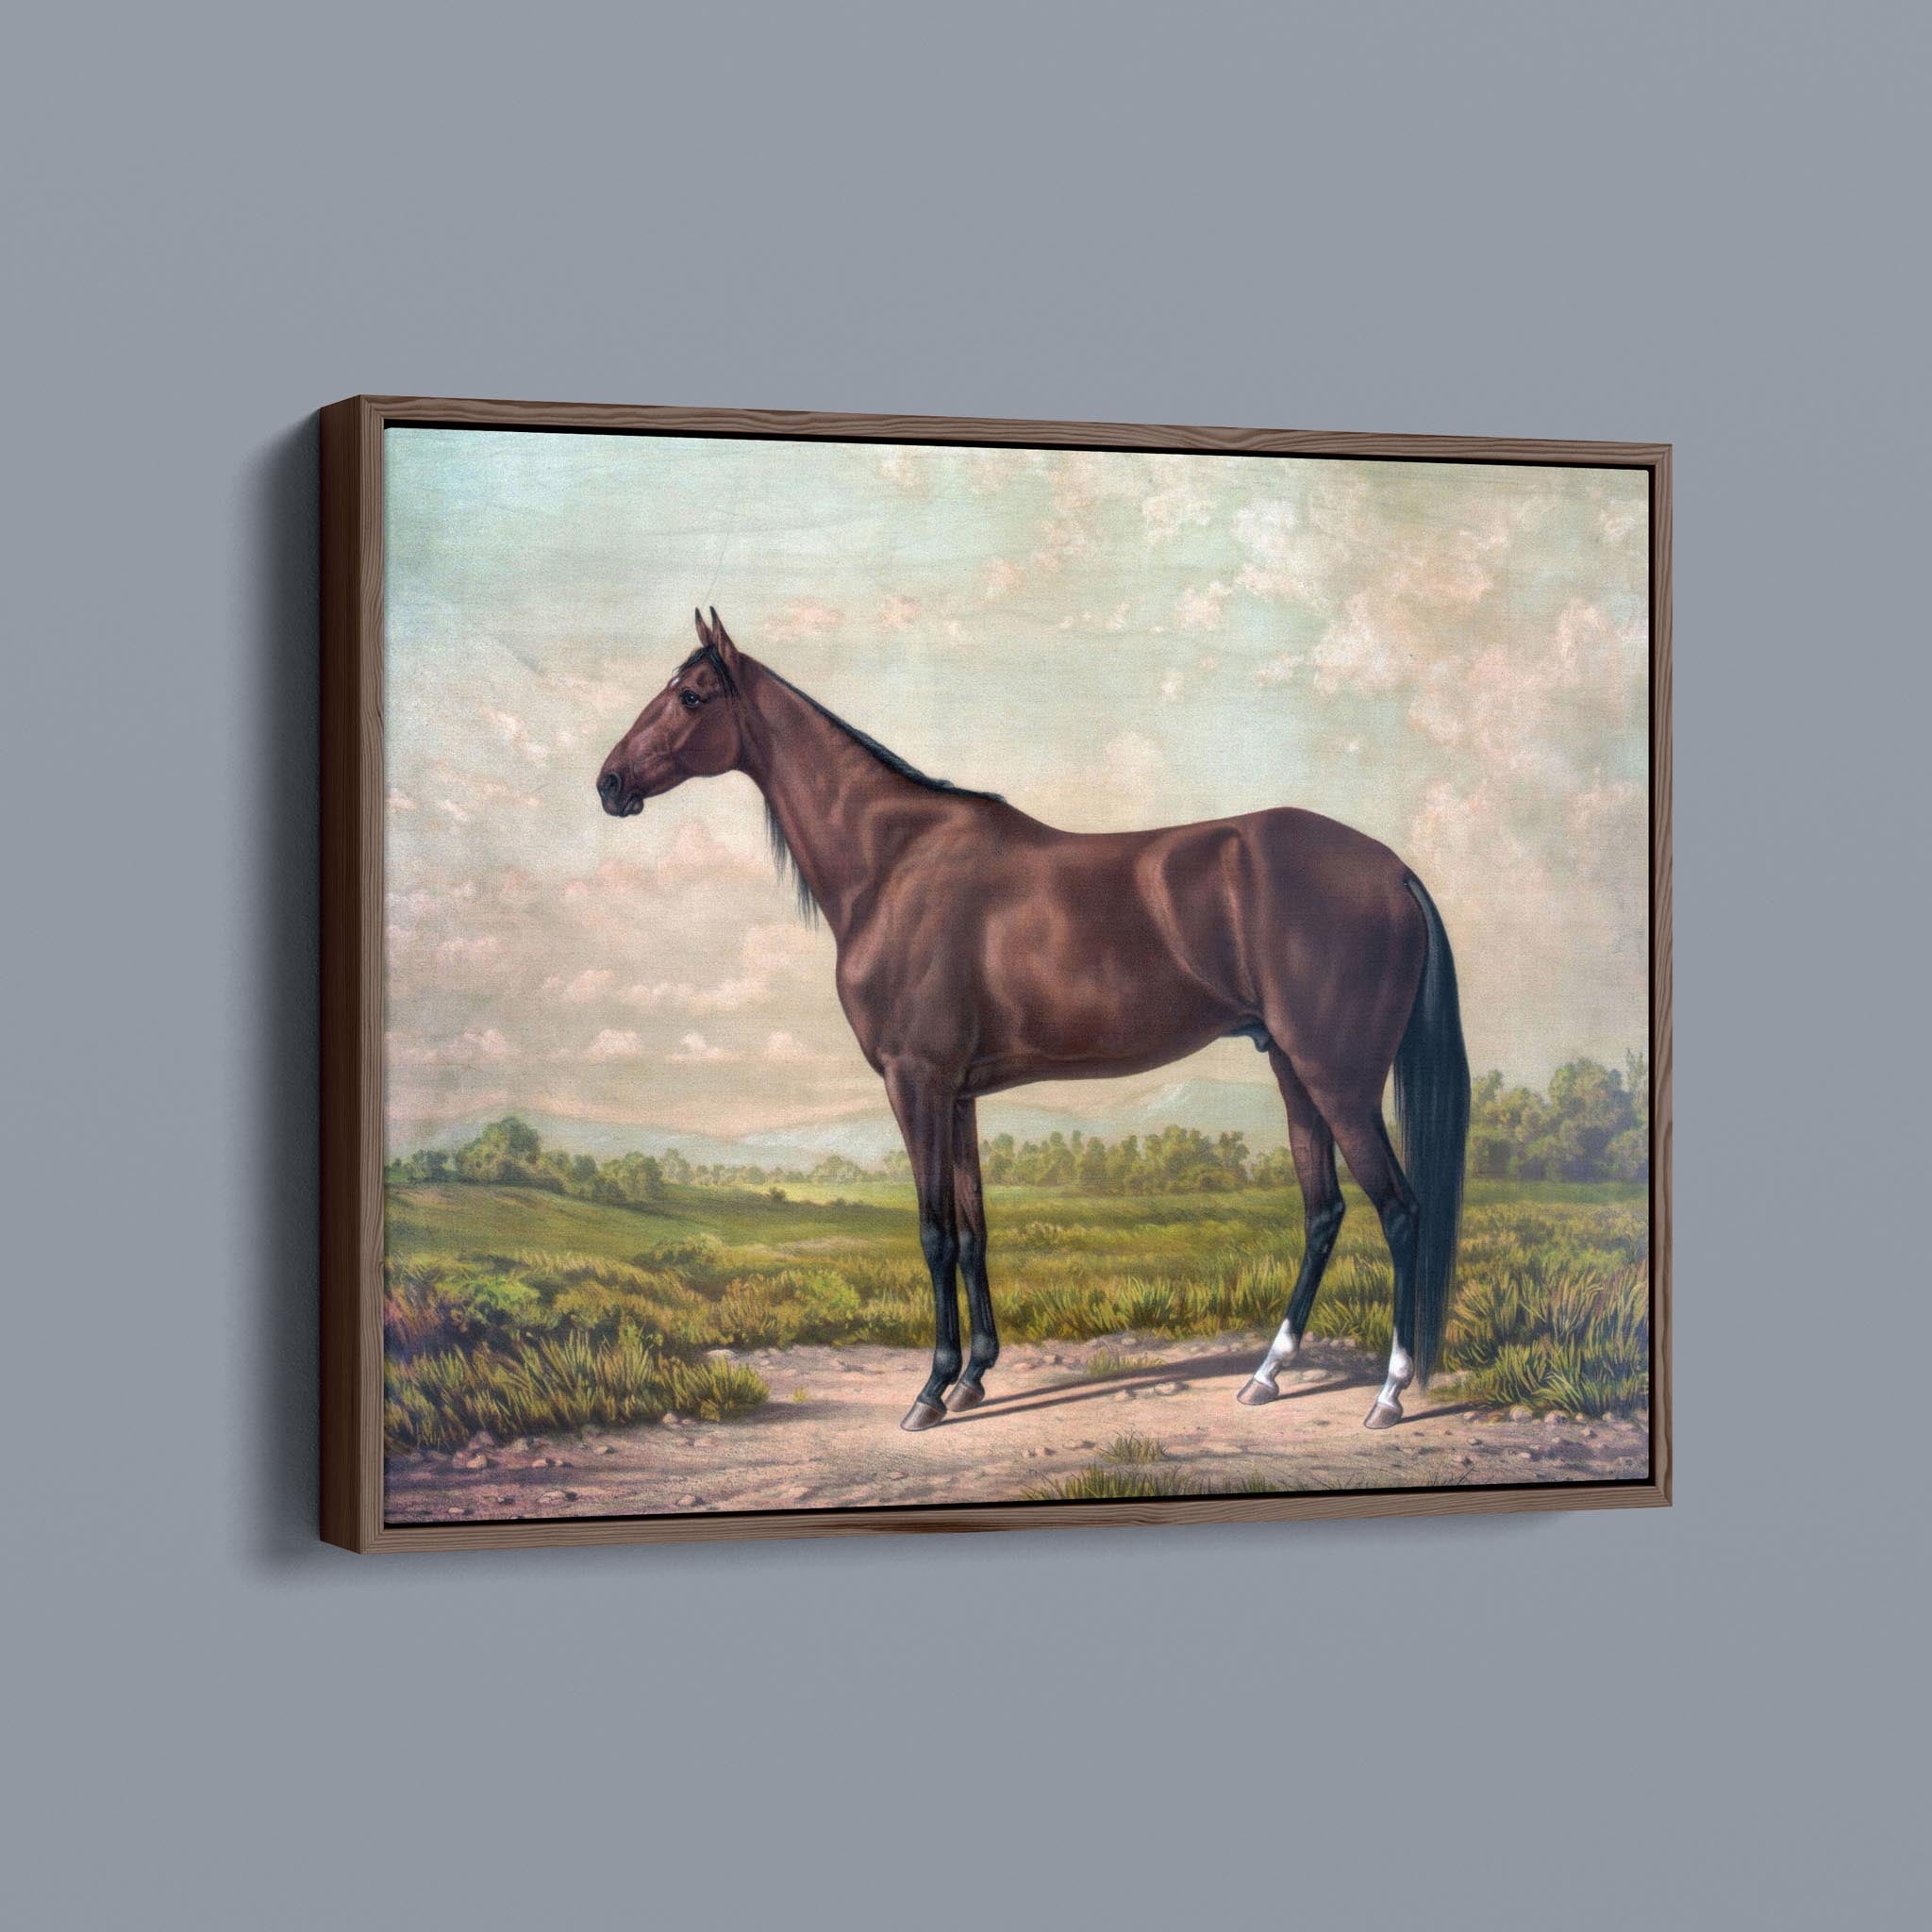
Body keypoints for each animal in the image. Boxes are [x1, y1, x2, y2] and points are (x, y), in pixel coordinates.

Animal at [599, 609, 1470, 1434]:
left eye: (691, 695)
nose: (609, 783)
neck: (894, 864)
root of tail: (1392, 868)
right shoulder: (958, 1096)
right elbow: (974, 1230)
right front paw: (974, 1375)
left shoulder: (915, 1085)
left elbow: (934, 1233)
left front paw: (930, 1392)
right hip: (1293, 1072)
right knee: (1324, 1213)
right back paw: (1266, 1375)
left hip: (1339, 1080)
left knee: (1399, 1211)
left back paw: (1389, 1393)